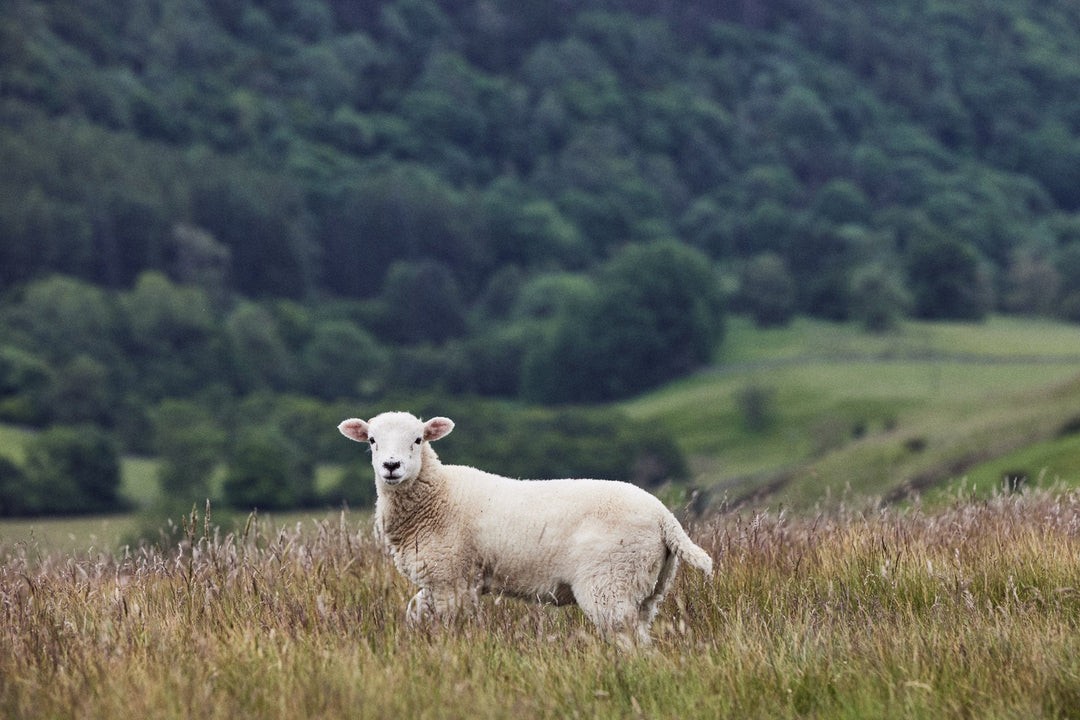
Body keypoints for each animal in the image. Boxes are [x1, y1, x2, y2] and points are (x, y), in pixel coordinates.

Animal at [338, 411, 713, 644]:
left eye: (418, 439)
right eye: (371, 440)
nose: (391, 466)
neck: (437, 496)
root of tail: (665, 517)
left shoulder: (451, 578)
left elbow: (449, 626)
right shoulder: (442, 580)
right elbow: (414, 611)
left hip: (610, 580)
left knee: (627, 640)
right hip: (647, 587)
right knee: (643, 638)